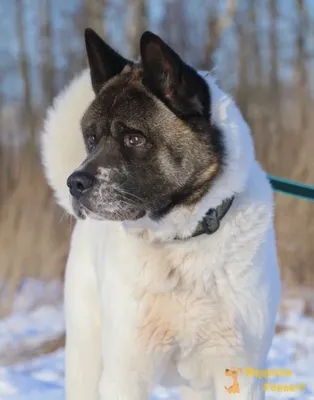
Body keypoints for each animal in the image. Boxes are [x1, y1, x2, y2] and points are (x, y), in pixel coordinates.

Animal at [41, 28, 280, 400]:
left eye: (134, 138)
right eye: (91, 139)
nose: (74, 183)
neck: (180, 244)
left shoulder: (240, 371)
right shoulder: (125, 375)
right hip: (86, 360)